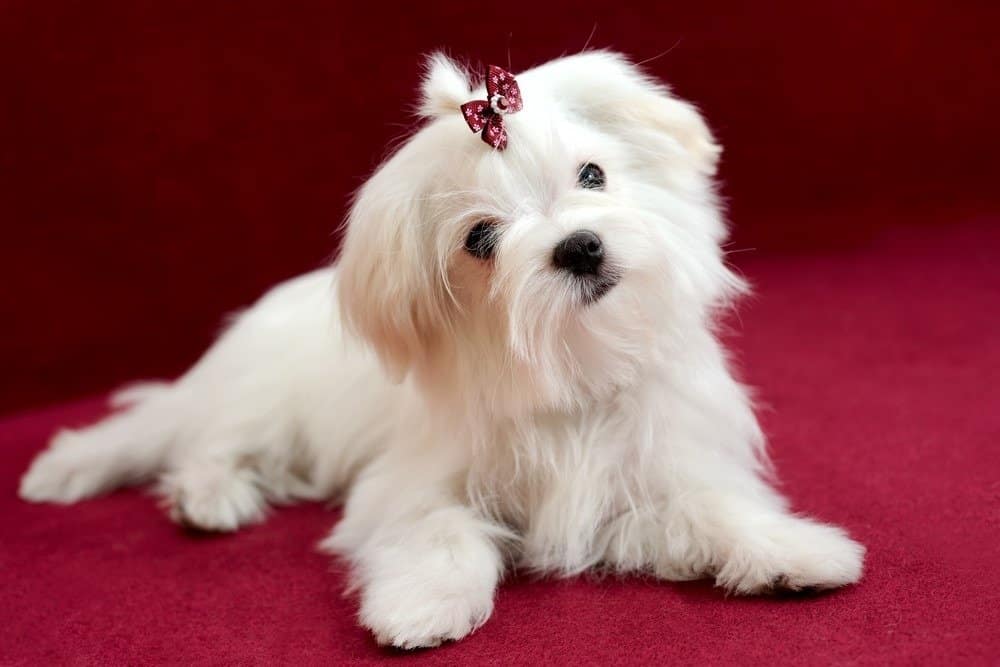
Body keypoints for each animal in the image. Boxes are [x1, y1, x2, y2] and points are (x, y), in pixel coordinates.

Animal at [23, 51, 868, 648]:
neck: (573, 365)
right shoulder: (410, 484)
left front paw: (792, 549)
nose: (581, 246)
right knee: (205, 443)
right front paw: (422, 604)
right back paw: (210, 496)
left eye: (593, 174)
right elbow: (439, 529)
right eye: (481, 239)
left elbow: (710, 504)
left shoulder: (655, 462)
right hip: (261, 403)